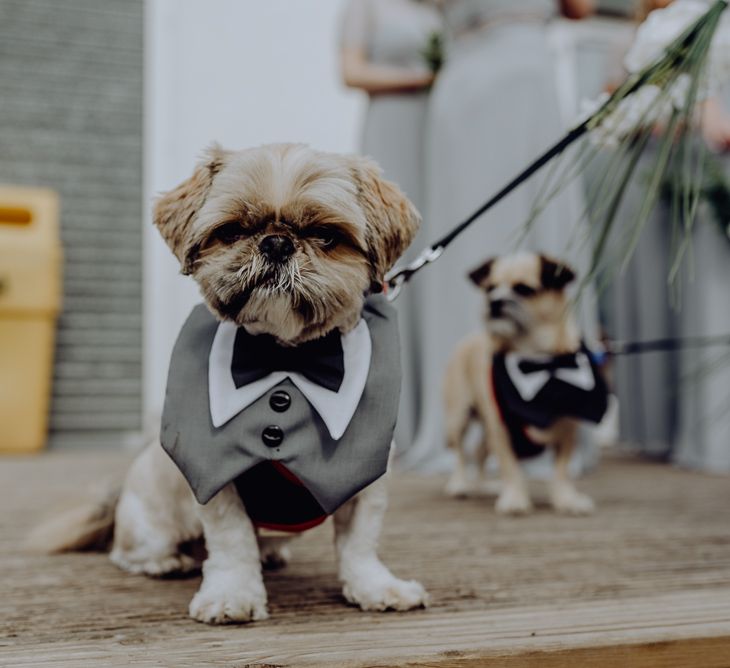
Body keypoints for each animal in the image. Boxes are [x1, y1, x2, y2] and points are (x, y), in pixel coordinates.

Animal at [29, 144, 426, 624]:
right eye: (234, 230)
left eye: (326, 236)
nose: (276, 242)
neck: (286, 359)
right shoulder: (215, 473)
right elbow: (233, 540)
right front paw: (232, 595)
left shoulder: (364, 478)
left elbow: (360, 545)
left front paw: (376, 588)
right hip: (150, 518)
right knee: (131, 552)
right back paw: (167, 561)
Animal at [440, 253, 604, 516]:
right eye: (490, 288)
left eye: (523, 289)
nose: (494, 302)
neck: (535, 359)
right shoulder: (501, 430)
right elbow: (510, 467)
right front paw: (515, 498)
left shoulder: (567, 430)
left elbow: (561, 471)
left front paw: (566, 499)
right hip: (460, 417)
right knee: (461, 453)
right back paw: (461, 484)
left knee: (479, 452)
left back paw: (484, 485)